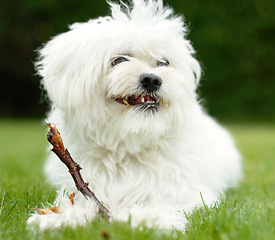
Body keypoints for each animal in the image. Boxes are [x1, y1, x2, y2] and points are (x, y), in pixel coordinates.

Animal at [28, 0, 243, 232]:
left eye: (163, 63)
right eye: (119, 59)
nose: (152, 79)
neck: (129, 143)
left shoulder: (187, 193)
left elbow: (163, 204)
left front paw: (135, 218)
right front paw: (57, 219)